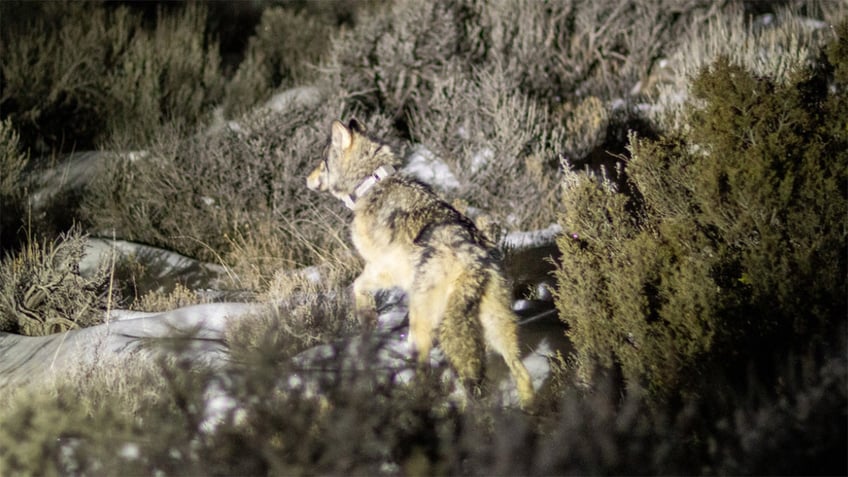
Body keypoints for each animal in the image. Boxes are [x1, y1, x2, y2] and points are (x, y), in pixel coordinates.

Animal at [308, 119, 532, 406]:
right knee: (521, 371)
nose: (306, 178)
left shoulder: (384, 268)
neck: (370, 182)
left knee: (426, 371)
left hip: (423, 323)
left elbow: (357, 286)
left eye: (322, 162)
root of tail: (471, 260)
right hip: (497, 328)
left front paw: (367, 317)